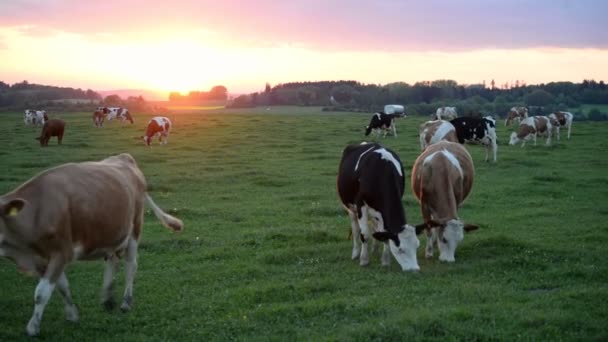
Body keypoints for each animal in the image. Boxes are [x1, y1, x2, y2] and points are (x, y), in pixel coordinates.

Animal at [0, 154, 183, 336]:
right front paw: (72, 314)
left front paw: (33, 326)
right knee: (113, 262)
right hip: (112, 233)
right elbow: (62, 286)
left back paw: (126, 302)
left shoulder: (61, 251)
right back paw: (108, 299)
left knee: (131, 265)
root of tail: (124, 157)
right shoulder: (40, 259)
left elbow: (41, 293)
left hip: (134, 229)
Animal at [334, 143, 420, 272]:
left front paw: (385, 260)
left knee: (376, 229)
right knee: (355, 229)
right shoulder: (360, 205)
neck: (381, 172)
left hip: (376, 212)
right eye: (400, 250)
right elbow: (364, 234)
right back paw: (355, 253)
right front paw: (364, 260)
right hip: (350, 208)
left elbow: (384, 235)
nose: (414, 269)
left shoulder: (383, 211)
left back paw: (374, 250)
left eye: (416, 246)